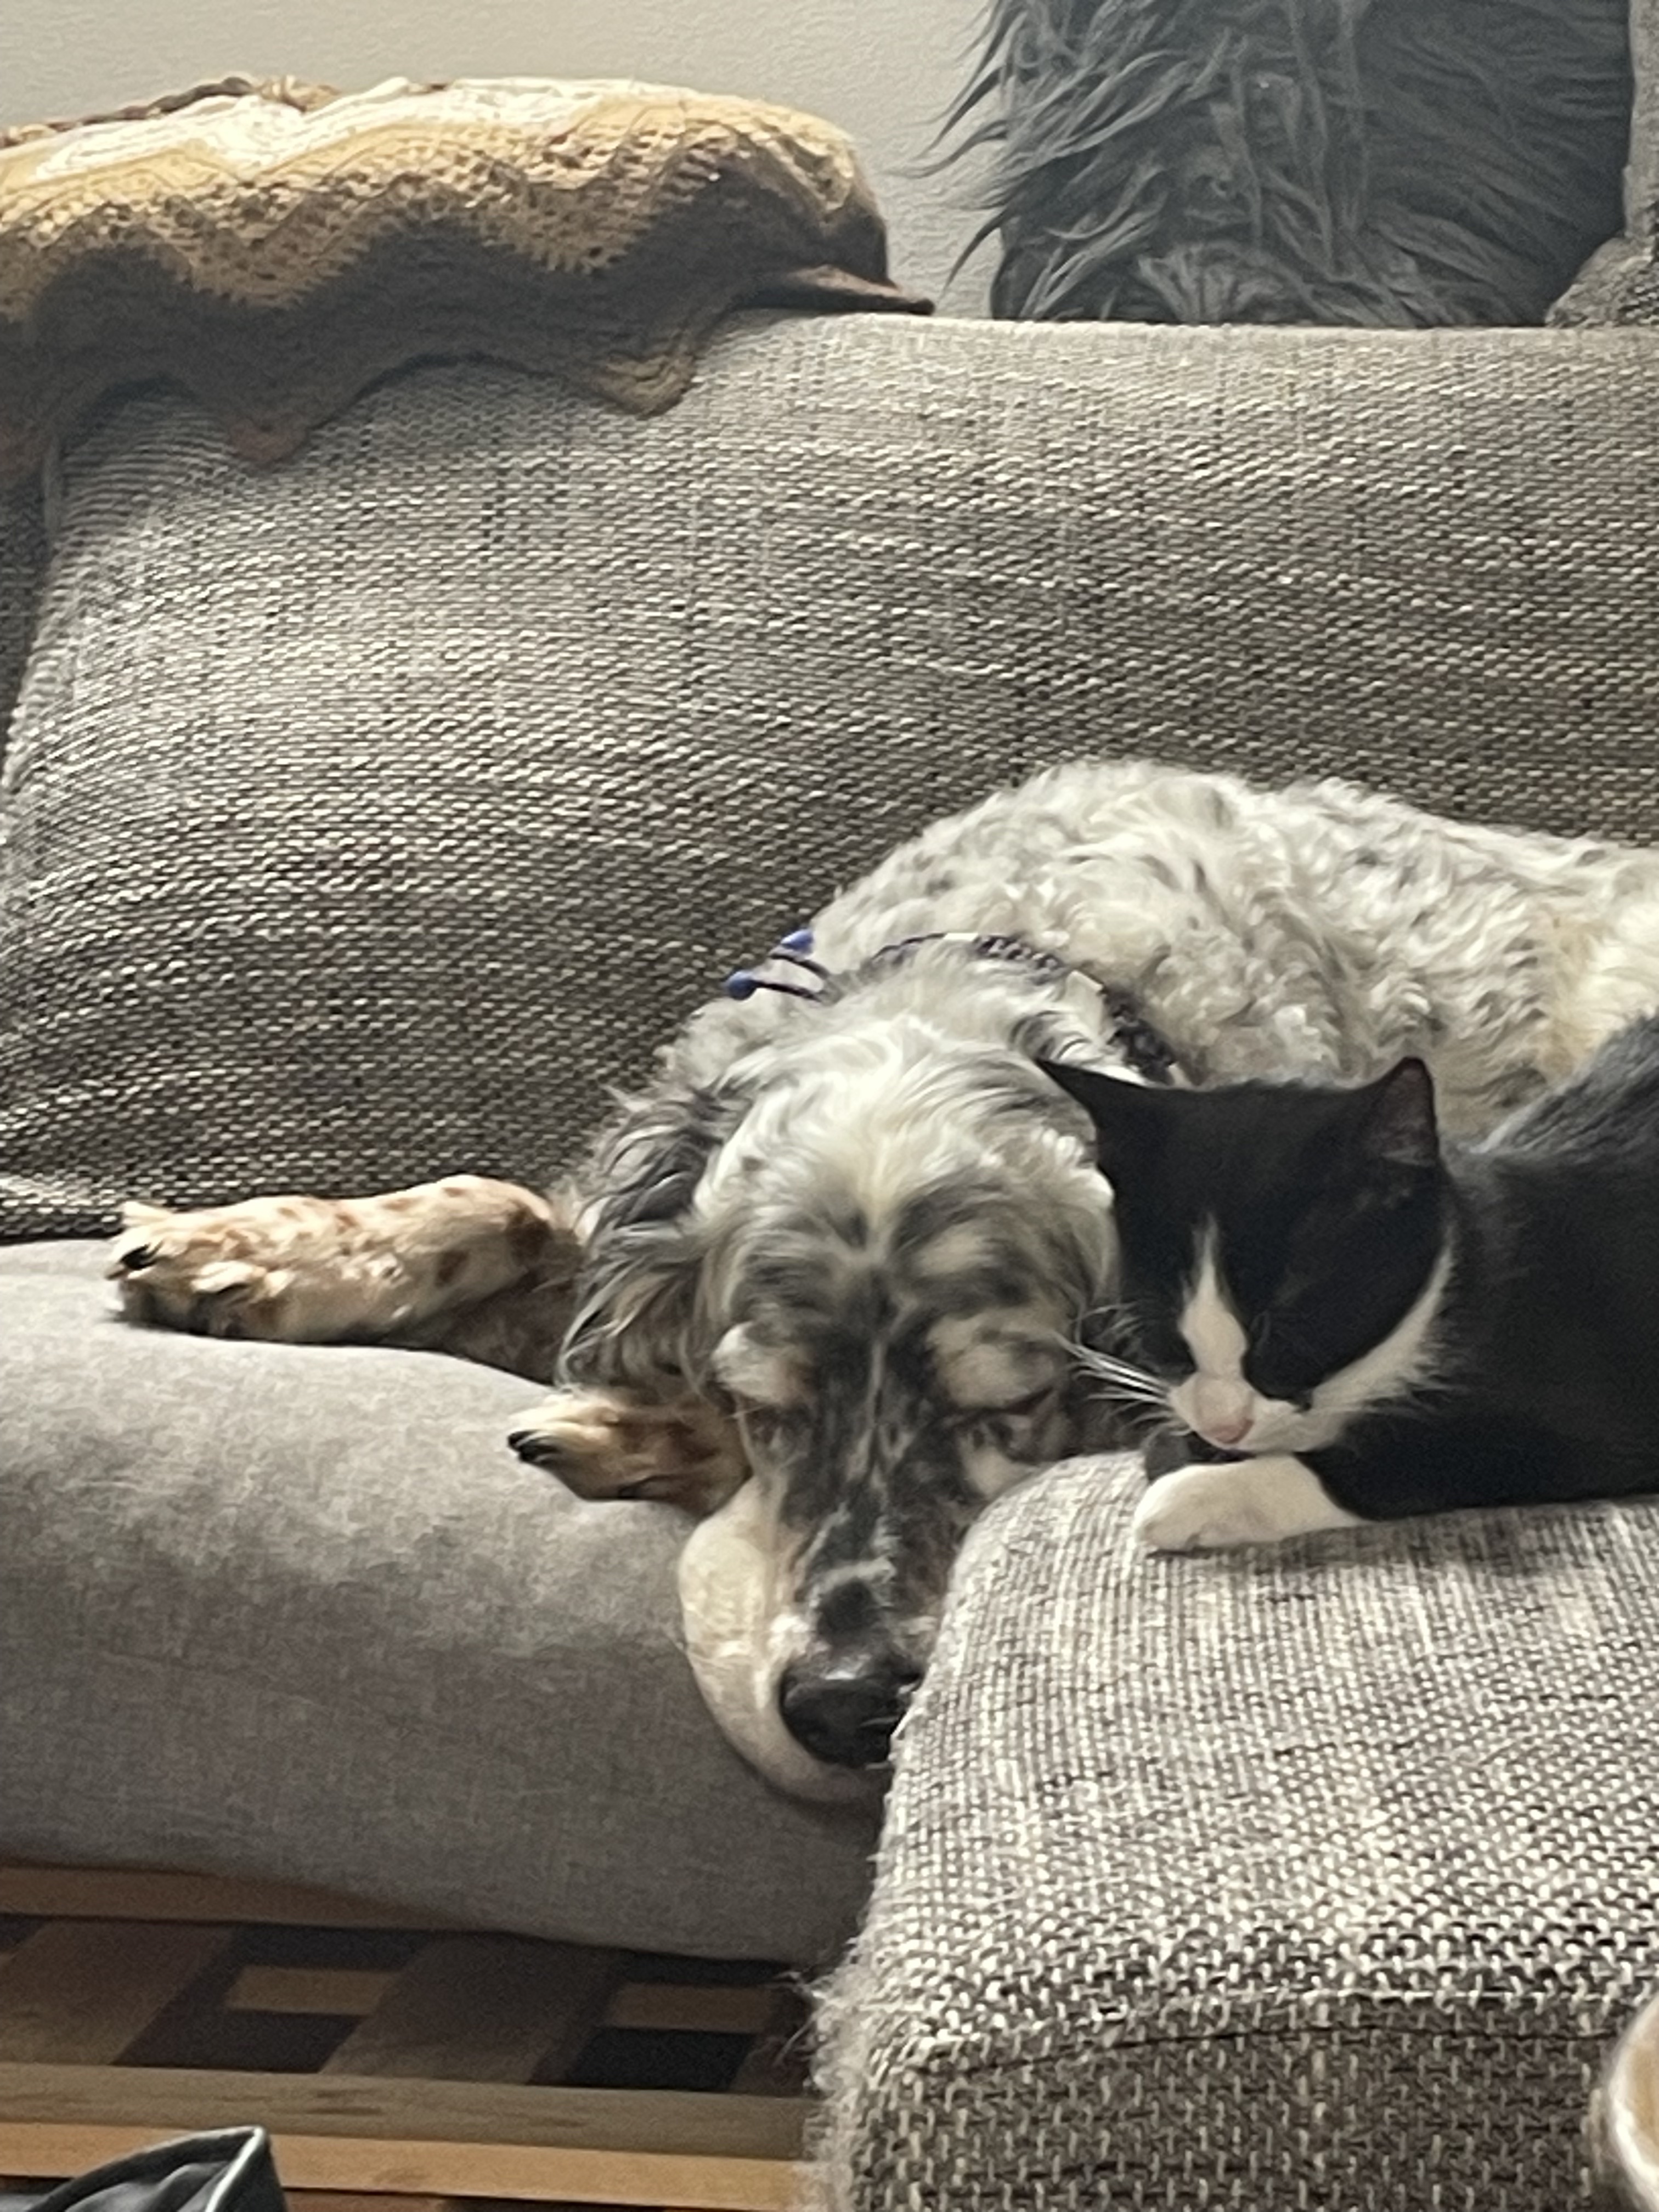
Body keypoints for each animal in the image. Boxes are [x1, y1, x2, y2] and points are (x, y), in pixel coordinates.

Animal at [1041, 1014, 1659, 1553]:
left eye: (1284, 1329)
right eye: (1159, 1321)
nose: (1227, 1425)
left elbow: (1419, 1457)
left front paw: (1200, 1495)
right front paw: (1186, 1448)